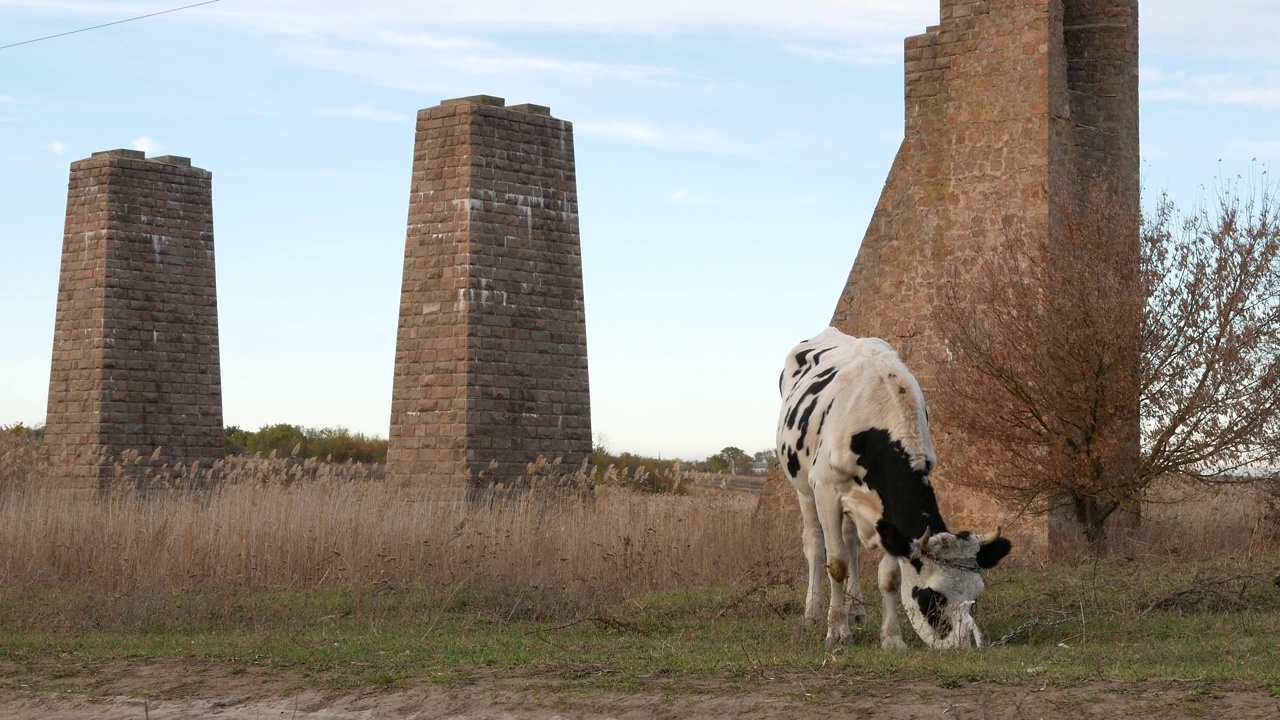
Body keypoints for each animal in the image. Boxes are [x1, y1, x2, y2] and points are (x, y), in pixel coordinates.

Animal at [773, 327, 1013, 648]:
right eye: (933, 597)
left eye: (975, 597)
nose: (959, 647)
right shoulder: (825, 489)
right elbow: (836, 564)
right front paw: (837, 632)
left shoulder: (888, 515)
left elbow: (889, 576)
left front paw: (892, 638)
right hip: (804, 488)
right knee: (814, 543)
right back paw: (813, 613)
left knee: (851, 544)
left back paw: (857, 610)